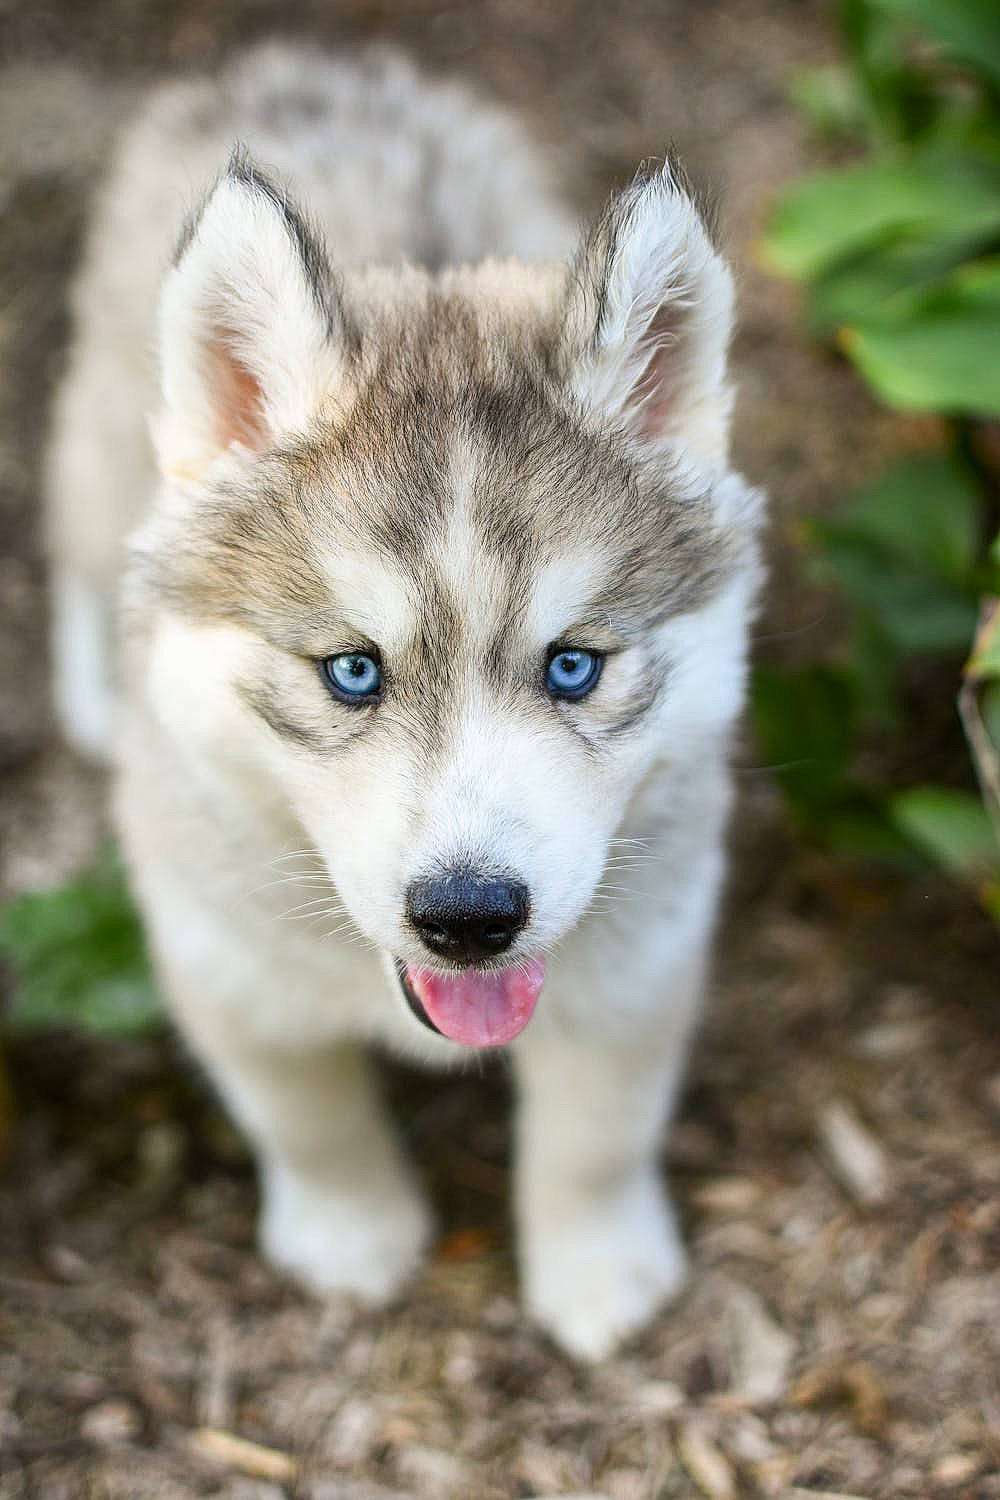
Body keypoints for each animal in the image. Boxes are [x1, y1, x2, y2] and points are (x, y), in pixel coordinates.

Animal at [46, 43, 764, 1359]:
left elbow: (597, 1136)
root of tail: (300, 63)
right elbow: (307, 1120)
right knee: (82, 553)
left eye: (573, 665)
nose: (469, 917)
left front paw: (598, 1273)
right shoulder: (226, 972)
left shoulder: (639, 966)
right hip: (95, 444)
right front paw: (351, 1238)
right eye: (352, 671)